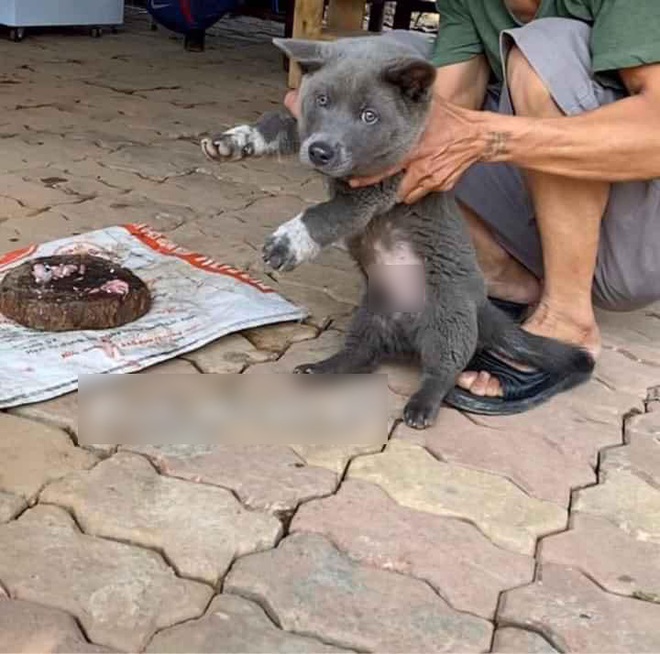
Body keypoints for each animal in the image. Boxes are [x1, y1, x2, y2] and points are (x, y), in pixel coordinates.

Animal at [201, 32, 592, 430]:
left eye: (369, 116)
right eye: (322, 100)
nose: (320, 152)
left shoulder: (376, 191)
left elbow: (324, 215)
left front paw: (287, 243)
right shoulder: (307, 131)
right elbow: (280, 120)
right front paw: (236, 140)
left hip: (448, 316)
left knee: (444, 369)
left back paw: (421, 406)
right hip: (371, 314)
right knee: (360, 355)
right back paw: (323, 369)